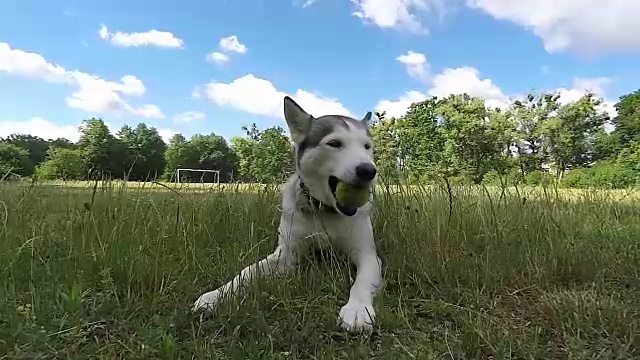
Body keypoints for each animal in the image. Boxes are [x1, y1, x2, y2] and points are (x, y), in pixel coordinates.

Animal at [190, 95, 380, 332]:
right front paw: (216, 295)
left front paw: (357, 310)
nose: (368, 170)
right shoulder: (285, 255)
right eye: (334, 143)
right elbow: (247, 271)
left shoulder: (368, 255)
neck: (323, 211)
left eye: (367, 146)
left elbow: (361, 282)